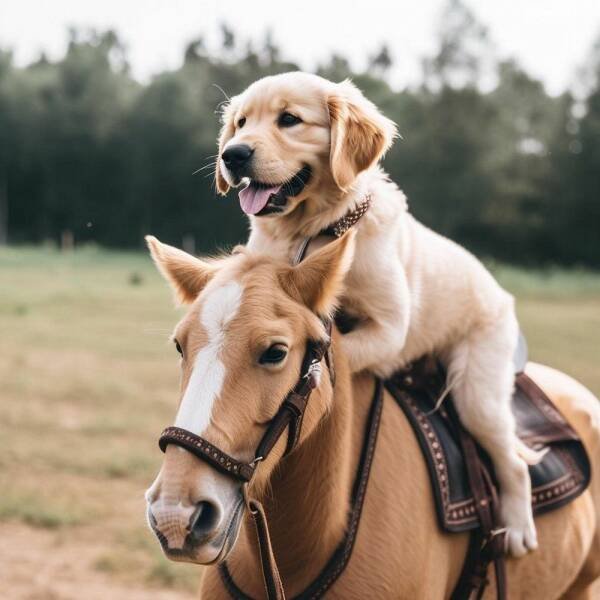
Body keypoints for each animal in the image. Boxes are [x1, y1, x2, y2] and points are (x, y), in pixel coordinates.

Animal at [214, 71, 540, 556]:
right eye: (240, 123)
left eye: (289, 119)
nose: (232, 155)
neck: (313, 234)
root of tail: (503, 296)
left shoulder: (390, 328)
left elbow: (341, 349)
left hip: (476, 392)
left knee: (513, 462)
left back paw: (518, 529)